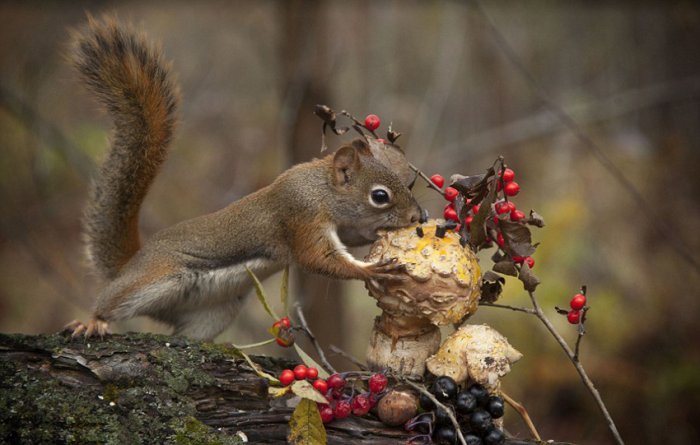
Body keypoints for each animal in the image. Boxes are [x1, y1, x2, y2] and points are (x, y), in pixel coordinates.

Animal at [67, 15, 422, 338]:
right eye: (379, 196)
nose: (418, 216)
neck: (321, 189)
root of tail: (130, 264)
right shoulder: (301, 215)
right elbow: (319, 258)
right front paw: (372, 269)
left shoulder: (342, 226)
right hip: (152, 278)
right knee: (111, 302)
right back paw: (92, 321)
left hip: (214, 313)